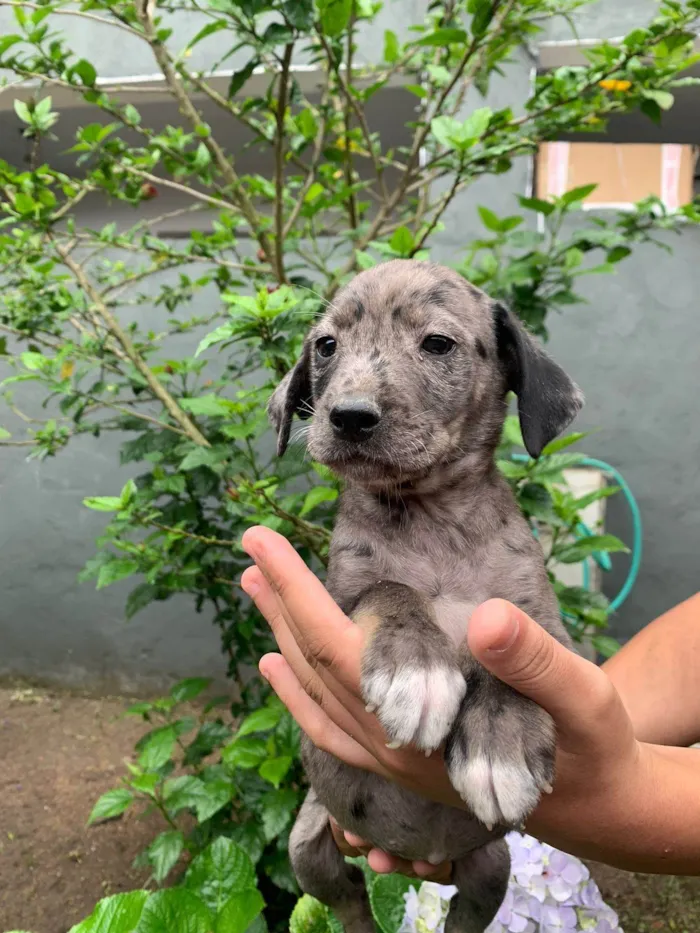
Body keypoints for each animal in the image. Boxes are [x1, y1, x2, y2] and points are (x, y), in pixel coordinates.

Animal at [266, 258, 584, 932]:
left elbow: (512, 659)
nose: (349, 415)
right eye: (325, 346)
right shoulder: (341, 600)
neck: (435, 520)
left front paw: (499, 743)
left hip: (491, 869)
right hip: (309, 842)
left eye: (437, 344)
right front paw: (418, 670)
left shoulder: (552, 632)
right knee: (349, 901)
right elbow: (390, 590)